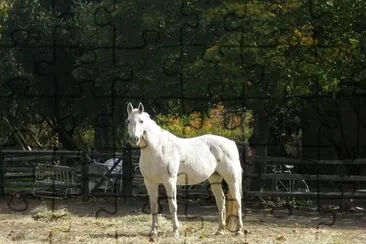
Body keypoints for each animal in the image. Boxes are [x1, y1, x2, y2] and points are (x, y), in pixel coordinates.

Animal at [126, 102, 243, 236]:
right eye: (128, 121)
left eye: (141, 121)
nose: (134, 139)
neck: (158, 149)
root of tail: (231, 143)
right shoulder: (150, 183)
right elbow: (154, 206)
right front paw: (153, 231)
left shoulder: (170, 181)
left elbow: (173, 206)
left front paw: (175, 231)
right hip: (215, 179)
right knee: (221, 201)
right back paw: (220, 230)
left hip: (232, 179)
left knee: (237, 200)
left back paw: (239, 230)